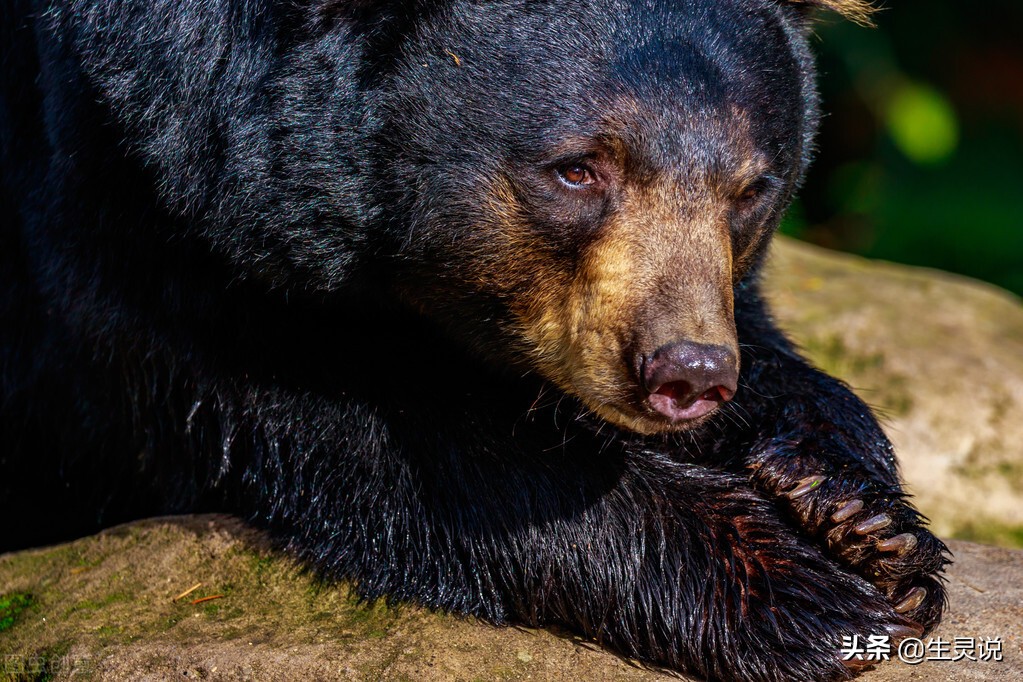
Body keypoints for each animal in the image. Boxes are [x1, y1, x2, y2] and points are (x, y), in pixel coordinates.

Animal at [1, 1, 948, 680]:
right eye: (577, 170)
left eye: (751, 188)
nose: (685, 372)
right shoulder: (121, 190)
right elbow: (374, 434)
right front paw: (808, 594)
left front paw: (860, 517)